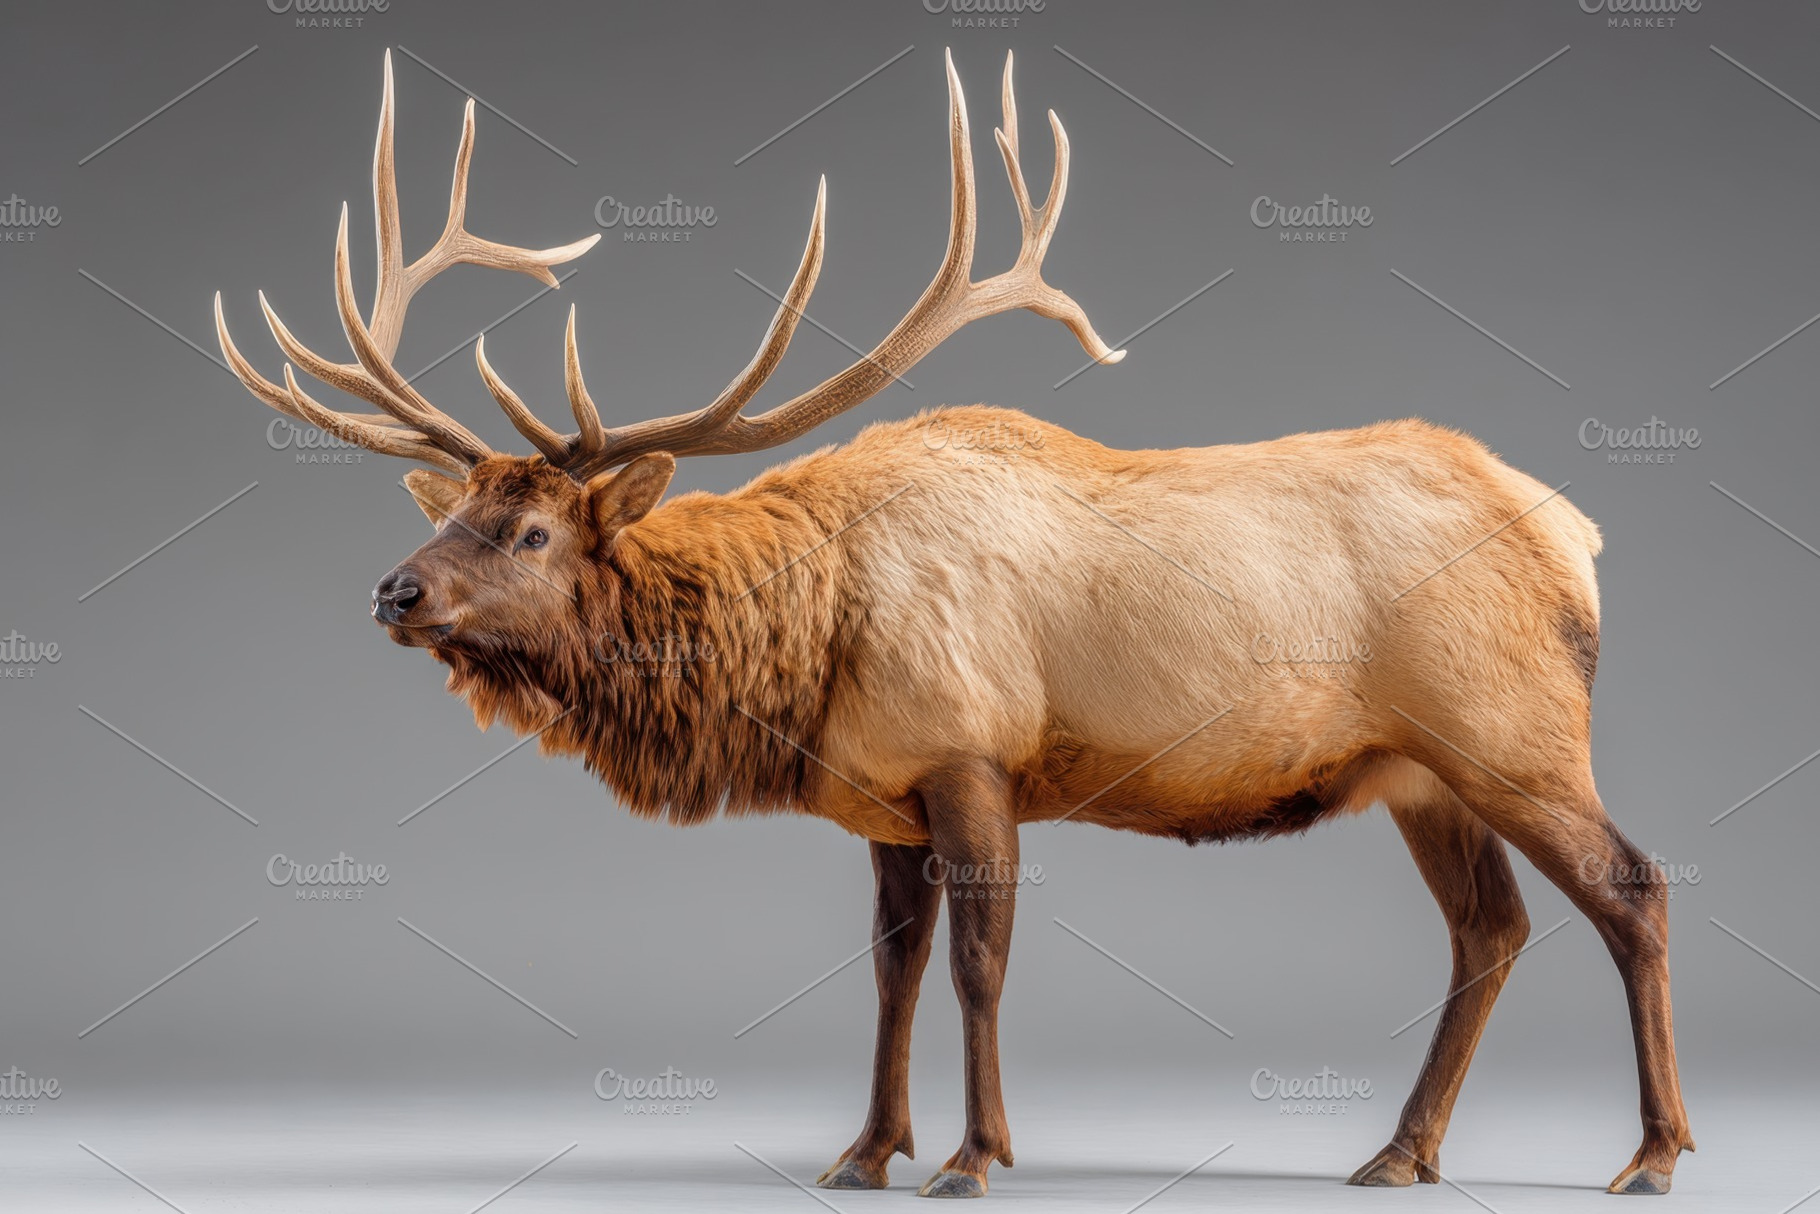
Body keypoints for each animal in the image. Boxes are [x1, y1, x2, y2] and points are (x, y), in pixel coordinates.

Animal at [214, 49, 1693, 1200]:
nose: (392, 590)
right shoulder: (883, 794)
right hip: (1418, 770)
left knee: (1630, 883)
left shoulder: (972, 754)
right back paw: (1399, 1151)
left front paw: (976, 1154)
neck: (800, 645)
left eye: (529, 530)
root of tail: (1577, 536)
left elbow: (981, 965)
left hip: (1511, 731)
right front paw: (866, 1148)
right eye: (458, 506)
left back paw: (1650, 1153)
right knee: (1490, 927)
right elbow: (892, 973)